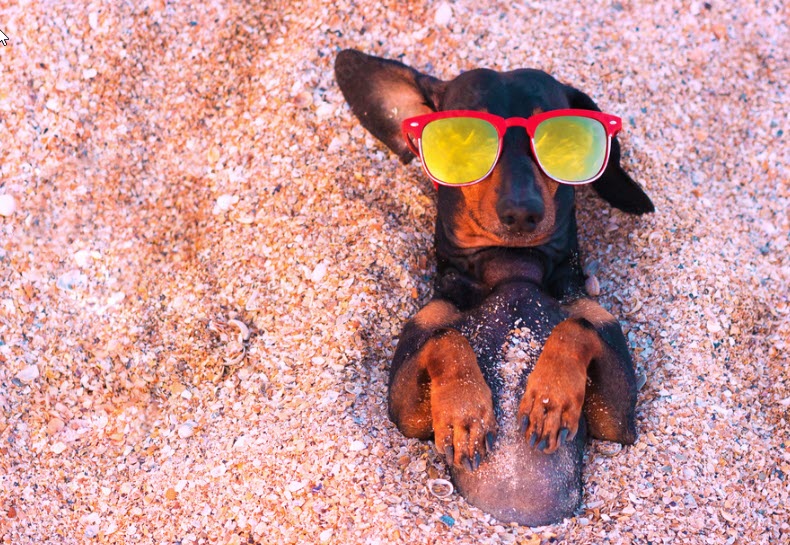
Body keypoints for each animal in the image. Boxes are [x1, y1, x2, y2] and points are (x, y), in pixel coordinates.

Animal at [334, 49, 656, 524]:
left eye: (561, 142)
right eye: (463, 142)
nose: (521, 210)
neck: (512, 271)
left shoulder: (618, 422)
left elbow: (577, 325)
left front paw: (550, 397)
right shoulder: (405, 415)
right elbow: (445, 337)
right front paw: (465, 413)